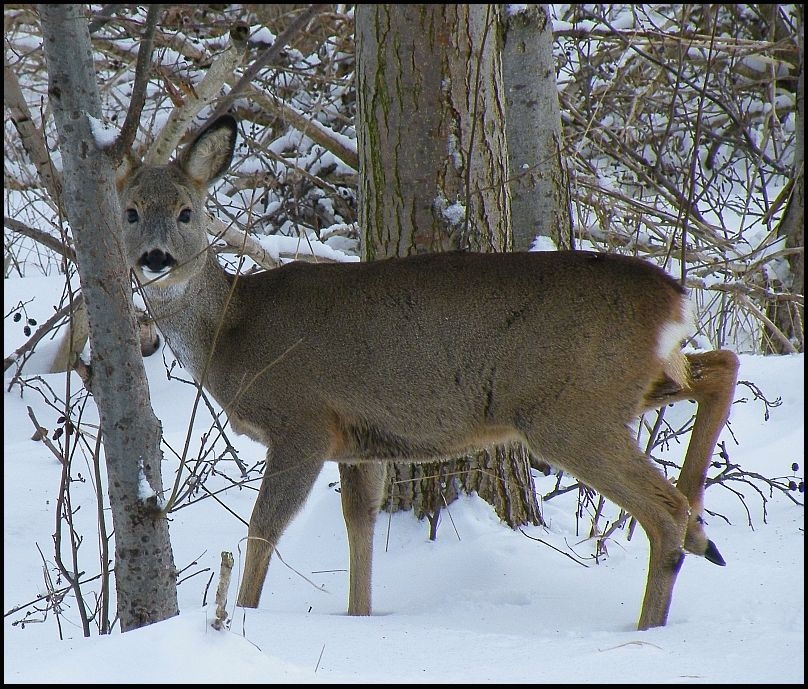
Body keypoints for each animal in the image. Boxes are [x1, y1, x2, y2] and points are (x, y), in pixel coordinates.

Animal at [120, 117, 740, 628]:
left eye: (186, 212)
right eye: (130, 211)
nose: (154, 258)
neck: (230, 330)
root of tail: (674, 301)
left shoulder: (302, 422)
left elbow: (263, 529)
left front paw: (243, 617)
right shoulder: (358, 441)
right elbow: (360, 526)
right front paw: (360, 617)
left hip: (570, 410)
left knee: (662, 509)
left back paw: (652, 619)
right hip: (623, 387)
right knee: (721, 368)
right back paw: (703, 532)